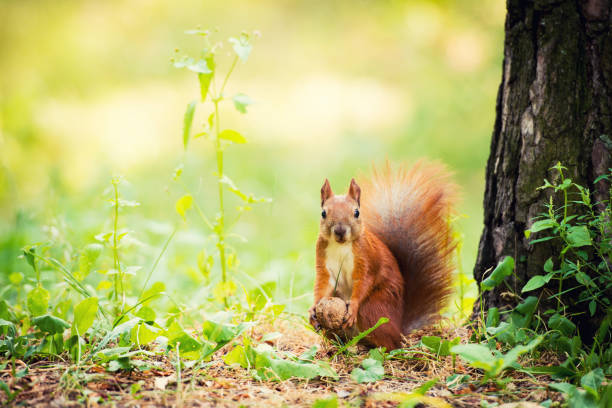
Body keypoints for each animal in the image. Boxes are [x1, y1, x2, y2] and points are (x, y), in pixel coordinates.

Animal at [308, 163, 456, 350]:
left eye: (357, 213)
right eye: (323, 213)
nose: (340, 231)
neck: (341, 246)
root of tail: (399, 327)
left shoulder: (367, 259)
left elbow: (364, 281)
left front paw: (353, 306)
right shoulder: (323, 261)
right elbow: (324, 284)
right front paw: (313, 309)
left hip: (375, 309)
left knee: (391, 343)